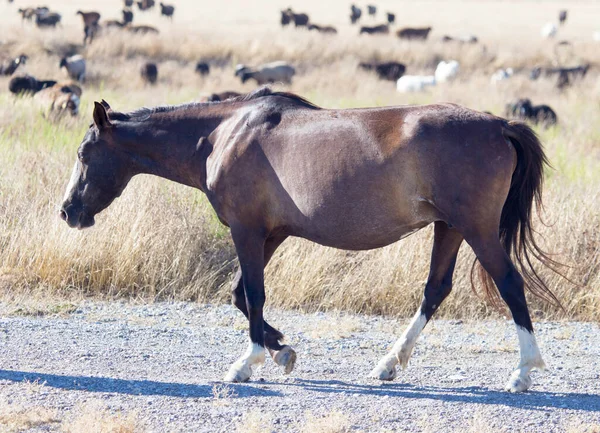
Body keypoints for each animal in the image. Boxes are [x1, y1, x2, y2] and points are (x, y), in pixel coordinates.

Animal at [58, 88, 560, 392]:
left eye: (84, 154)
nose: (67, 212)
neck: (222, 136)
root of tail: (498, 125)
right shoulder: (272, 233)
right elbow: (240, 295)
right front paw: (281, 351)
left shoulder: (247, 230)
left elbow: (253, 295)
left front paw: (249, 362)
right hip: (450, 228)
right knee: (435, 290)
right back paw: (390, 362)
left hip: (475, 229)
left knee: (510, 286)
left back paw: (523, 372)